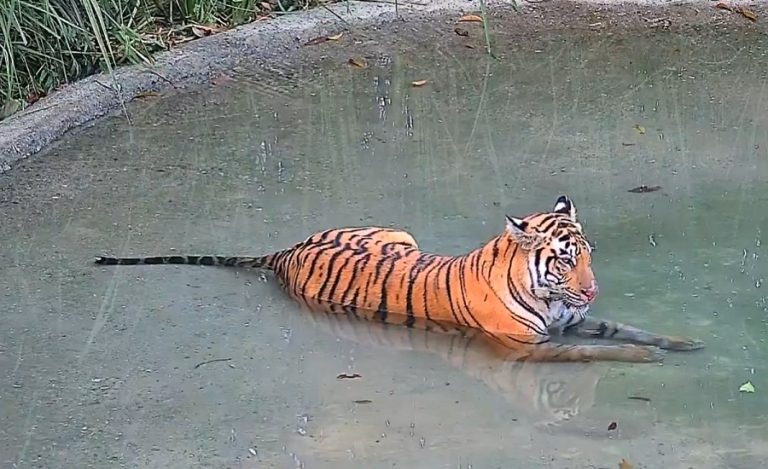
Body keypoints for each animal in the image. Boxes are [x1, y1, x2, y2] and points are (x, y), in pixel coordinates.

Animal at [94, 195, 704, 362]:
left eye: (588, 256)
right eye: (564, 258)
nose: (593, 288)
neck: (549, 296)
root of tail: (285, 252)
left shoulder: (573, 322)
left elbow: (624, 329)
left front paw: (680, 342)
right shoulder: (530, 347)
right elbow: (598, 351)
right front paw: (643, 358)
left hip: (399, 231)